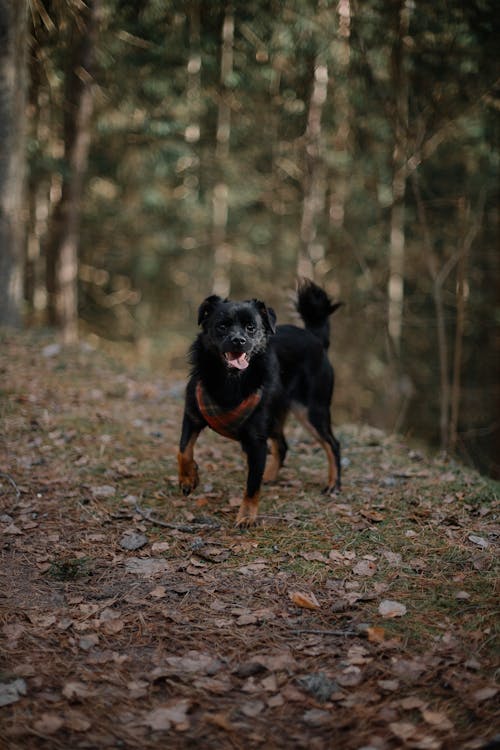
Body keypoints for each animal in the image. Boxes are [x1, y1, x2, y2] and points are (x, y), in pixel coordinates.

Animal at [178, 280, 342, 524]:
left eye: (251, 327)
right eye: (222, 326)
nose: (238, 340)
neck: (231, 380)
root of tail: (315, 338)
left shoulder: (256, 441)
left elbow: (252, 485)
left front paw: (247, 515)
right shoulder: (192, 416)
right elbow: (183, 450)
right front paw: (188, 477)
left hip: (311, 411)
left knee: (332, 444)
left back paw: (333, 484)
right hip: (276, 417)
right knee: (282, 445)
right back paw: (270, 475)